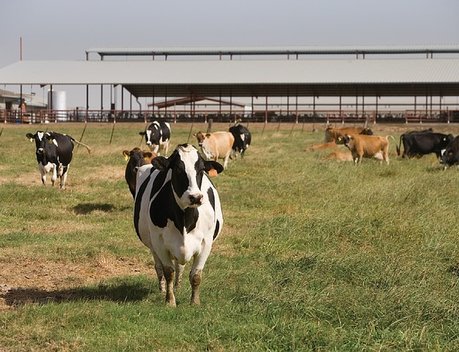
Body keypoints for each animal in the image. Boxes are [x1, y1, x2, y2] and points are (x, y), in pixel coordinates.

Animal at [134, 143, 224, 306]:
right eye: (177, 169)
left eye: (201, 169)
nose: (195, 197)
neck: (184, 221)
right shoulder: (159, 243)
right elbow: (168, 271)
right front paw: (170, 301)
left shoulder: (206, 243)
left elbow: (196, 275)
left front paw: (195, 302)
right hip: (152, 244)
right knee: (159, 267)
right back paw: (162, 288)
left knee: (180, 266)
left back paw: (178, 286)